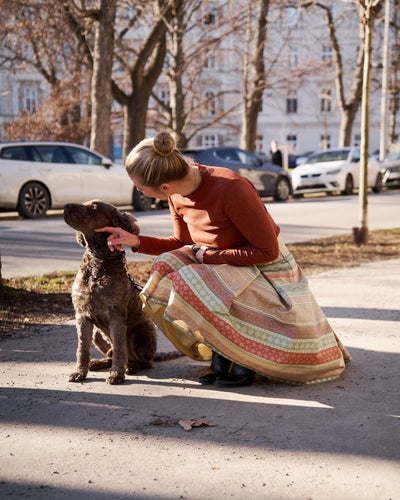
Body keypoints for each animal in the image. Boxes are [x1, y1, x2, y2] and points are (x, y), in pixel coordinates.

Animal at [63, 201, 156, 384]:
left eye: (93, 207)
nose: (66, 205)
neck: (99, 261)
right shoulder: (82, 316)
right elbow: (82, 349)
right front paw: (79, 372)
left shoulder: (116, 316)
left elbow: (120, 349)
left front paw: (116, 374)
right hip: (97, 334)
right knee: (111, 354)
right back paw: (98, 363)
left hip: (142, 330)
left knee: (144, 361)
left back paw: (130, 367)